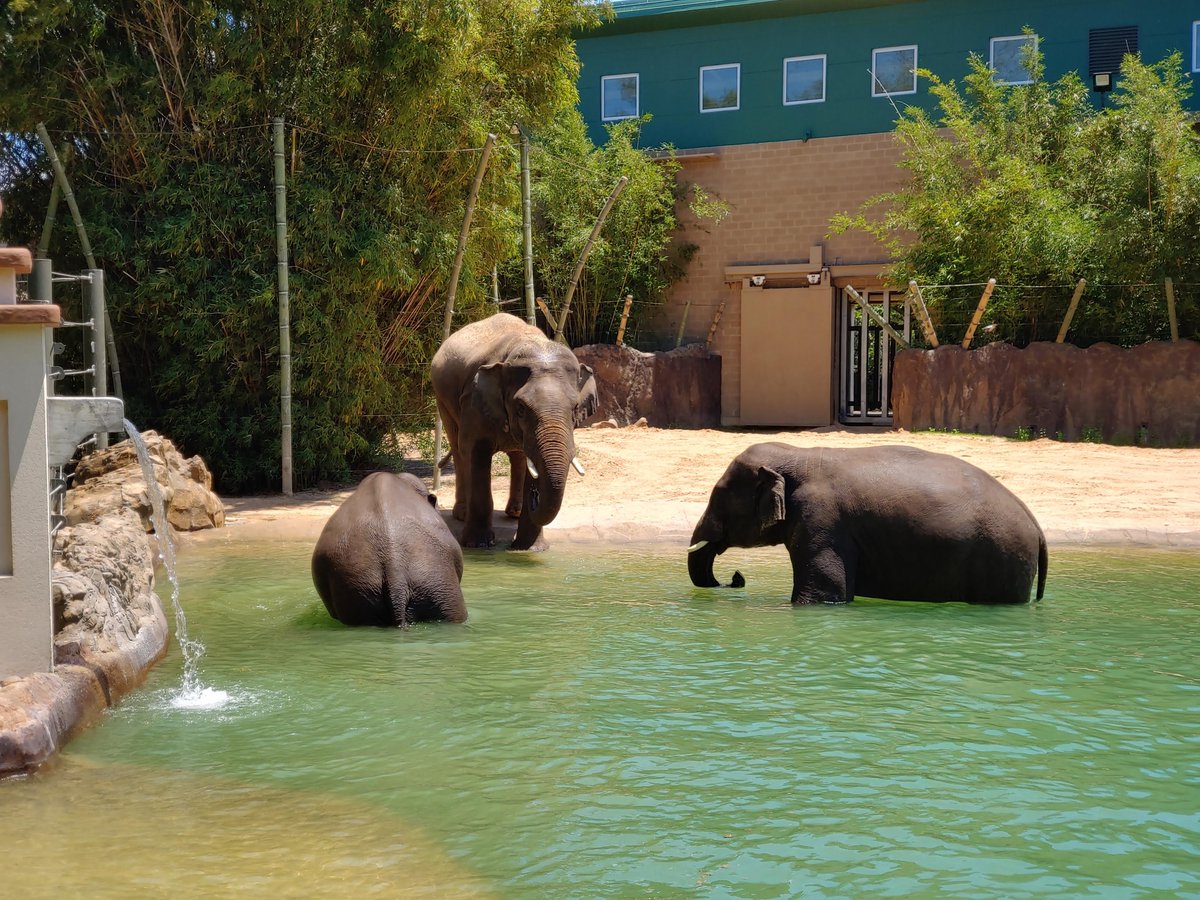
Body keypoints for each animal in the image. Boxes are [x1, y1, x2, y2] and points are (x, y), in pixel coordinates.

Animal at [431, 312, 598, 550]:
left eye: (575, 408)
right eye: (520, 408)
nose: (535, 497)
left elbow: (533, 463)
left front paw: (529, 549)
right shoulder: (473, 401)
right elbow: (474, 452)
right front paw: (479, 545)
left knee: (518, 456)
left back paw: (515, 513)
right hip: (442, 398)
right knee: (458, 448)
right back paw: (462, 514)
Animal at [688, 442, 1047, 605]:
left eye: (718, 496)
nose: (735, 577)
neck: (798, 454)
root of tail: (1036, 524)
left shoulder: (822, 521)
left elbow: (821, 595)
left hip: (1003, 560)